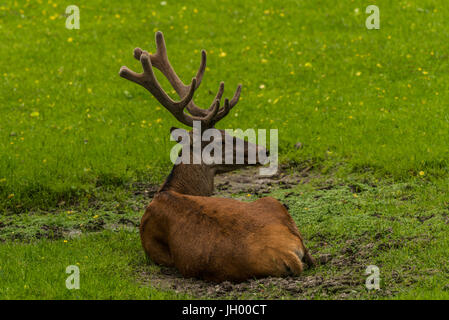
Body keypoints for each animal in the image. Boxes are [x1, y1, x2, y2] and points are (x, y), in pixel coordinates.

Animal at [119, 31, 316, 282]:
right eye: (221, 140)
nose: (264, 150)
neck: (169, 191)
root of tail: (287, 254)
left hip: (271, 201)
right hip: (273, 203)